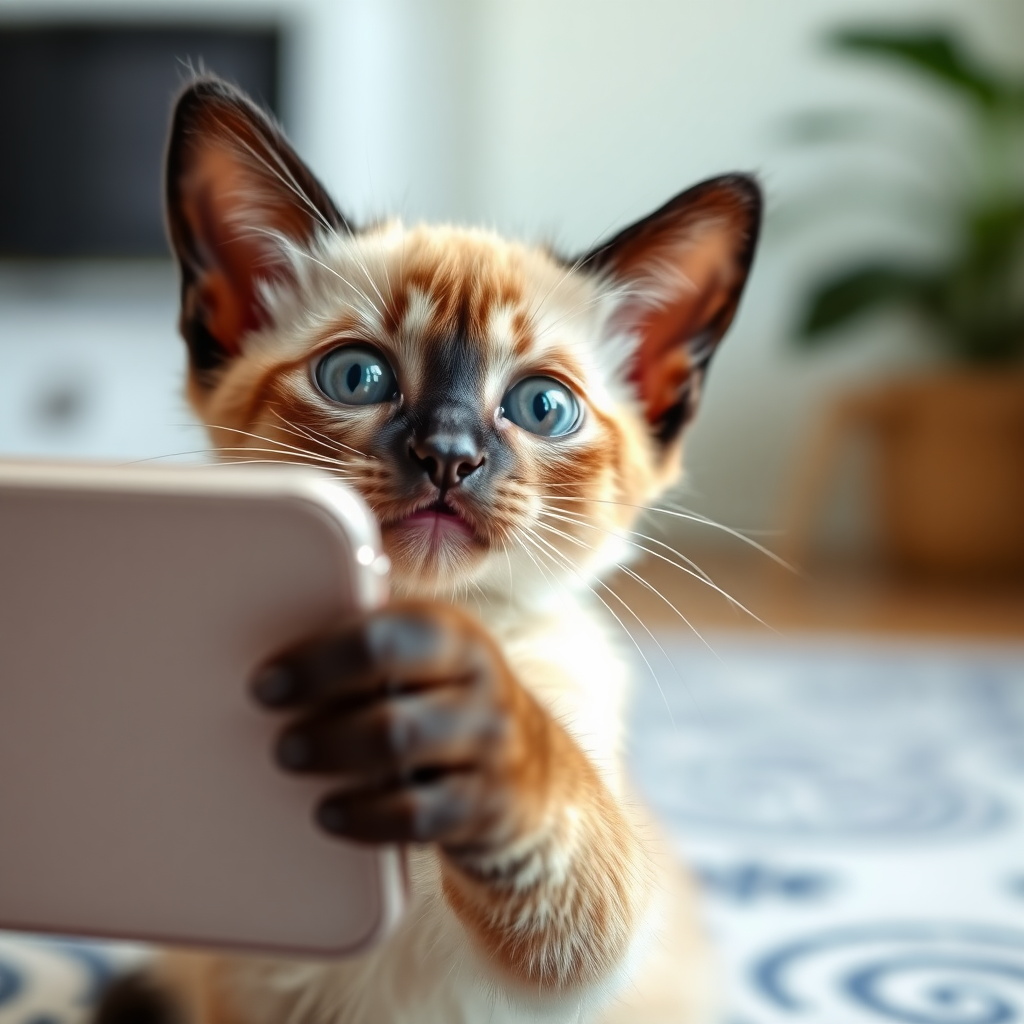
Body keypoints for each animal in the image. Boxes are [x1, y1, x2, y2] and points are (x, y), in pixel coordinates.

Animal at [97, 74, 761, 1024]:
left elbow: (567, 856)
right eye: (357, 377)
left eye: (541, 407)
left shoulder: (583, 947)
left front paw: (450, 704)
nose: (448, 454)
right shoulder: (252, 978)